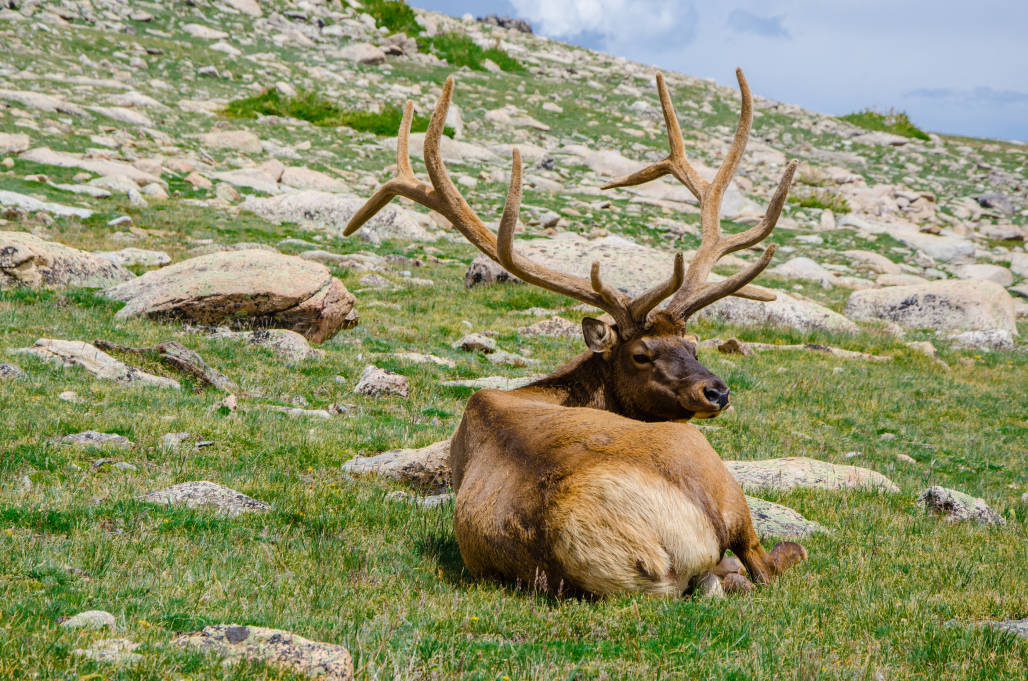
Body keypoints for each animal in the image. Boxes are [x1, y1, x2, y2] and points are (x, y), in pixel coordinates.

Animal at [344, 69, 807, 597]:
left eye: (692, 343)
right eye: (641, 354)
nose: (716, 392)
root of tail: (648, 550)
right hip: (713, 473)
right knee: (759, 565)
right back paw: (789, 551)